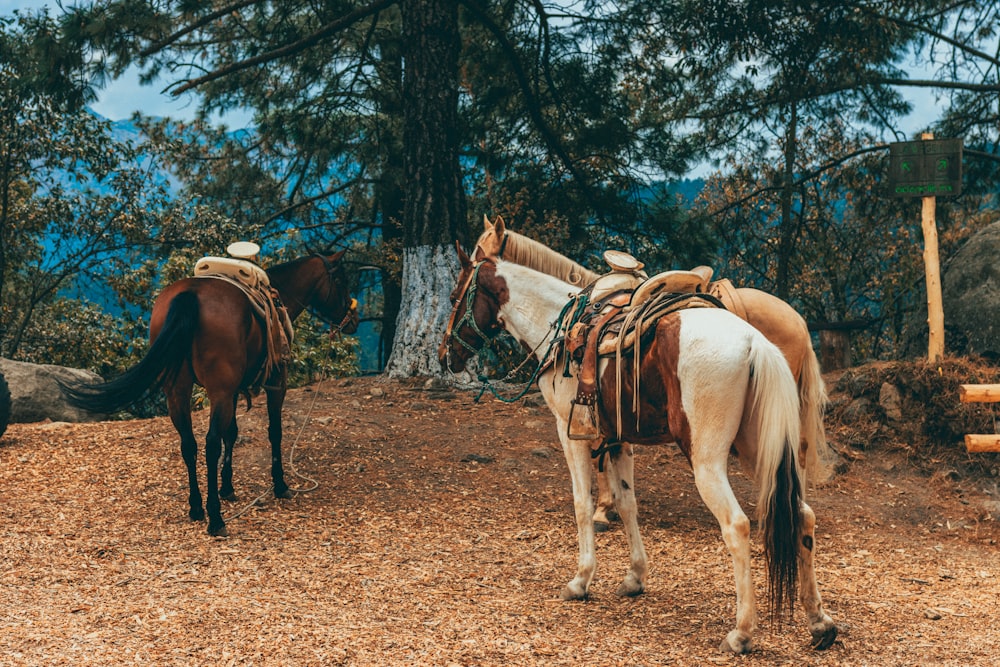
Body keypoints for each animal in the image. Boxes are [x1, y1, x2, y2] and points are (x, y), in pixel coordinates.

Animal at [60, 250, 358, 536]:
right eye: (342, 281)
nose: (353, 320)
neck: (278, 294)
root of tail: (188, 296)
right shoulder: (274, 380)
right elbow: (273, 432)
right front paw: (279, 484)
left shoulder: (233, 390)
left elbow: (232, 432)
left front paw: (227, 487)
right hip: (218, 391)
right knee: (210, 444)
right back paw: (215, 519)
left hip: (178, 391)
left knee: (188, 444)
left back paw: (196, 508)